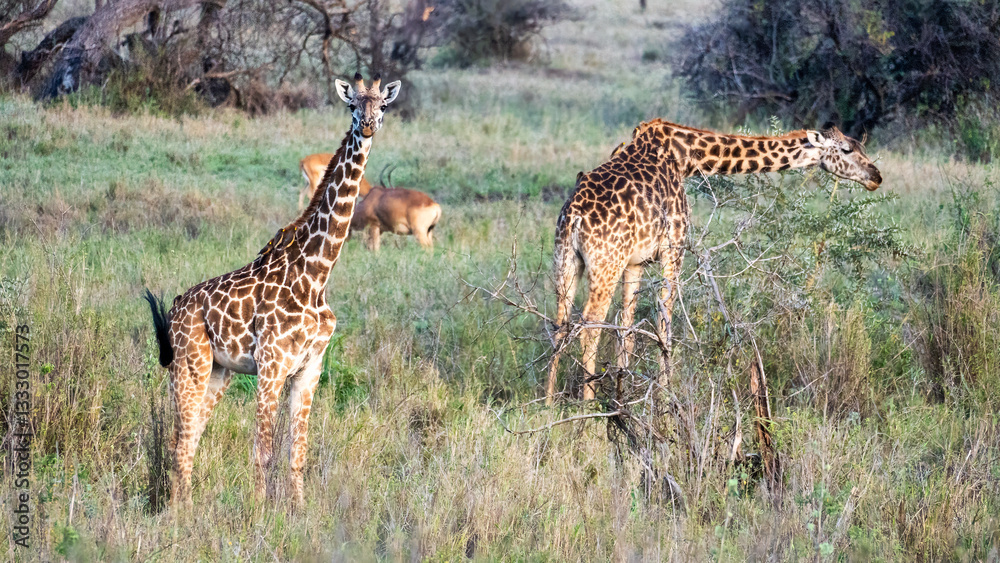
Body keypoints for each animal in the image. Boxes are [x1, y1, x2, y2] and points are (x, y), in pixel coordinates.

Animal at [144, 73, 400, 506]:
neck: (317, 274)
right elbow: (263, 452)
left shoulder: (310, 368)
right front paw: (261, 514)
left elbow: (298, 453)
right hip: (189, 363)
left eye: (382, 106)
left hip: (219, 372)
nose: (367, 127)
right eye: (352, 105)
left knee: (190, 439)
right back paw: (181, 514)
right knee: (179, 441)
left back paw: (186, 509)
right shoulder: (271, 365)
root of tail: (177, 306)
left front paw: (298, 511)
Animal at [546, 120, 882, 404]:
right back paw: (589, 407)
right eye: (847, 149)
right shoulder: (674, 247)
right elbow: (664, 324)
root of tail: (574, 216)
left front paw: (623, 390)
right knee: (589, 326)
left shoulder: (635, 262)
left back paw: (549, 402)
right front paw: (665, 397)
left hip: (567, 259)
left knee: (560, 323)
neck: (686, 158)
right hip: (606, 264)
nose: (876, 177)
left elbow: (626, 328)